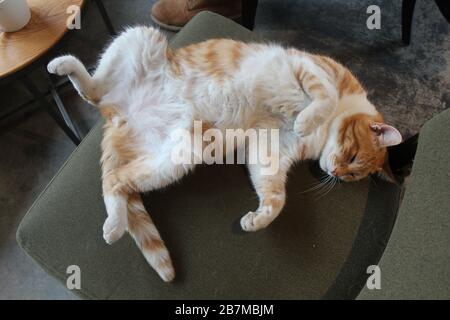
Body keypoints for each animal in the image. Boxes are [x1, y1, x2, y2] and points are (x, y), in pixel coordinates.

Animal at [47, 27, 402, 282]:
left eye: (352, 174)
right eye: (353, 158)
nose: (336, 173)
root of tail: (118, 116)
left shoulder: (270, 148)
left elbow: (276, 197)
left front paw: (258, 220)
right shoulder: (309, 68)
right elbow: (323, 96)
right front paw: (307, 118)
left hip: (178, 155)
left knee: (117, 179)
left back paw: (116, 224)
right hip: (143, 36)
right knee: (94, 93)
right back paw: (63, 64)